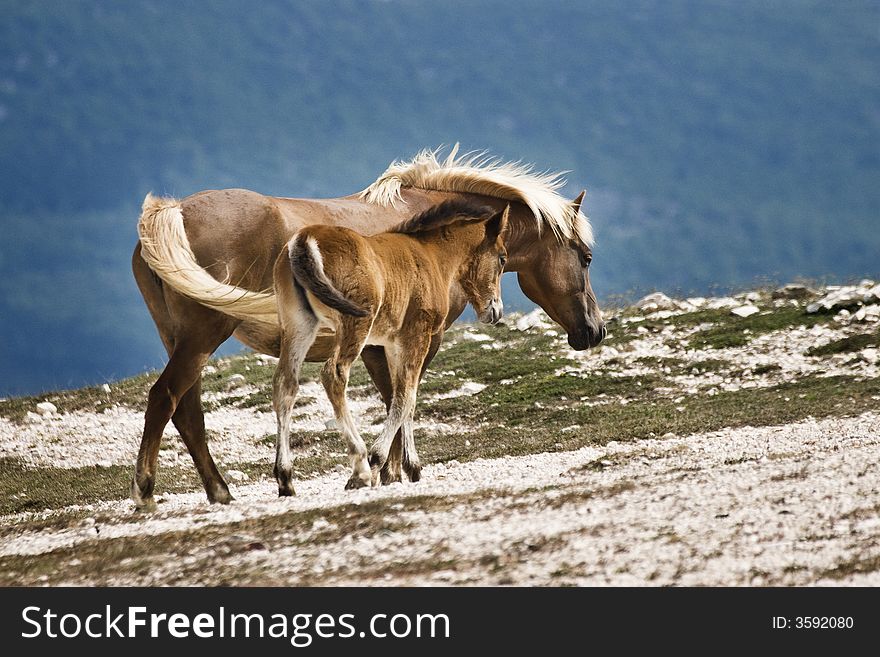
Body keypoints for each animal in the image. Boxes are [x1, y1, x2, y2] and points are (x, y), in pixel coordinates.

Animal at [276, 202, 508, 494]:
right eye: (502, 258)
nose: (496, 311)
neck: (431, 256)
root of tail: (304, 239)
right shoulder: (417, 334)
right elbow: (406, 396)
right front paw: (380, 462)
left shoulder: (392, 343)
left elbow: (403, 394)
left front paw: (410, 467)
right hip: (355, 322)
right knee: (334, 374)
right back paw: (361, 468)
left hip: (298, 324)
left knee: (285, 383)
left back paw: (285, 478)